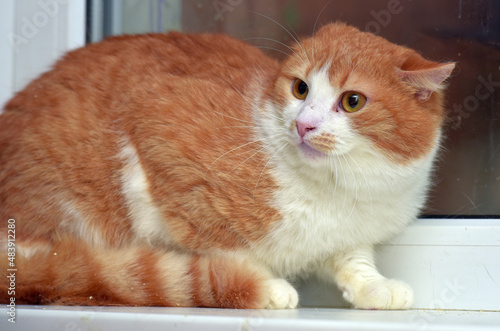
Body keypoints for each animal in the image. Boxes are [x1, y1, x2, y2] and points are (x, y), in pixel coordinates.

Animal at [0, 23, 454, 312]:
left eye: (352, 101)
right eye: (300, 88)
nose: (303, 124)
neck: (335, 192)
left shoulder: (348, 236)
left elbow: (353, 260)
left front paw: (374, 287)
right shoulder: (158, 128)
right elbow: (224, 249)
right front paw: (263, 285)